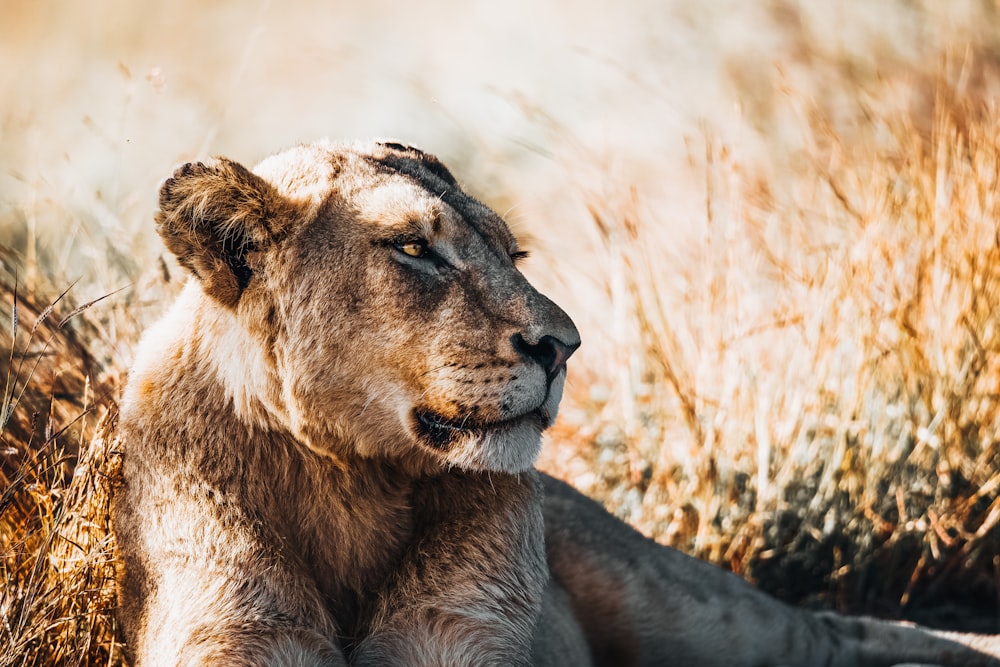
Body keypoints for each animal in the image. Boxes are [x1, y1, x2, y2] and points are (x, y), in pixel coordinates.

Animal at [113, 138, 1000, 664]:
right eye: (414, 248)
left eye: (514, 253)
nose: (564, 345)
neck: (348, 482)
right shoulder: (233, 630)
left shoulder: (459, 632)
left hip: (685, 606)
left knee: (830, 630)